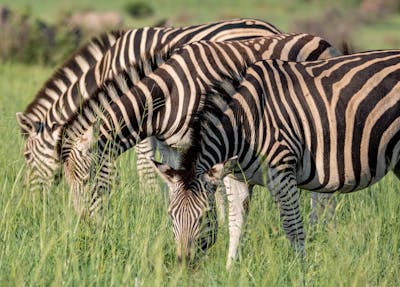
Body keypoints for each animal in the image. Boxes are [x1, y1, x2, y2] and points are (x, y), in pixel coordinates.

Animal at [16, 18, 282, 199]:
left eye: (27, 156)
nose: (30, 197)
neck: (107, 68)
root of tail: (272, 29)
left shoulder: (141, 112)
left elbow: (141, 165)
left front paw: (146, 200)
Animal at [58, 33, 340, 256]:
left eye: (86, 180)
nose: (84, 229)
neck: (166, 98)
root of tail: (323, 41)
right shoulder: (174, 148)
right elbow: (177, 185)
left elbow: (216, 189)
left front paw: (217, 229)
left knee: (322, 190)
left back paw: (319, 229)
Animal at [149, 50, 400, 268]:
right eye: (171, 215)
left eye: (202, 216)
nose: (183, 265)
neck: (247, 122)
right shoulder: (237, 178)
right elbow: (235, 225)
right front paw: (230, 271)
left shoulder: (282, 173)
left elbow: (293, 228)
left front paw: (301, 271)